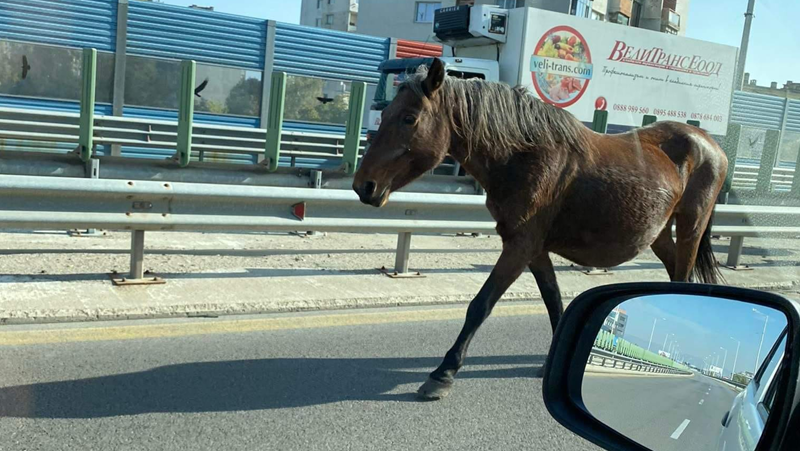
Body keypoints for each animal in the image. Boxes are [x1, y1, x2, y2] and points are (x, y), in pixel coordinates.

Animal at [354, 58, 728, 400]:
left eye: (409, 118)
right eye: (386, 113)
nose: (363, 186)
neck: (522, 155)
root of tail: (709, 142)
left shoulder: (520, 246)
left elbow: (480, 305)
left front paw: (443, 373)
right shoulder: (534, 249)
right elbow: (554, 302)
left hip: (691, 226)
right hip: (660, 233)